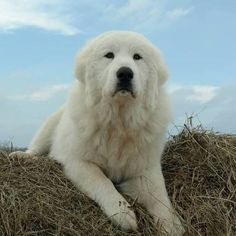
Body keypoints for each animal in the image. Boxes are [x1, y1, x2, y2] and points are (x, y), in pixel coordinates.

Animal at [10, 30, 184, 234]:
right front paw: (122, 212)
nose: (125, 73)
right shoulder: (78, 161)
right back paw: (22, 155)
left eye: (137, 57)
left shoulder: (145, 170)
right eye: (109, 55)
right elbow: (102, 181)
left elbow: (160, 198)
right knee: (37, 147)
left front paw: (172, 225)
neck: (118, 119)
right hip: (51, 124)